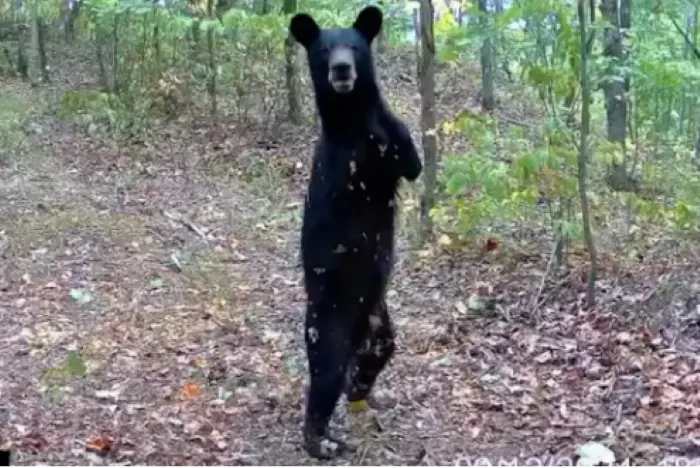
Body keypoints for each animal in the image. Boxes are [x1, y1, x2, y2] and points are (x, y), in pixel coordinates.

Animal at [288, 5, 422, 460]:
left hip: (377, 311)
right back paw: (321, 440)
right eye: (325, 50)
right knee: (325, 374)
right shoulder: (344, 163)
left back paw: (360, 388)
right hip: (331, 314)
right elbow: (359, 171)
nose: (342, 69)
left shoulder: (396, 145)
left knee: (379, 349)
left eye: (356, 46)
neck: (350, 116)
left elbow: (410, 158)